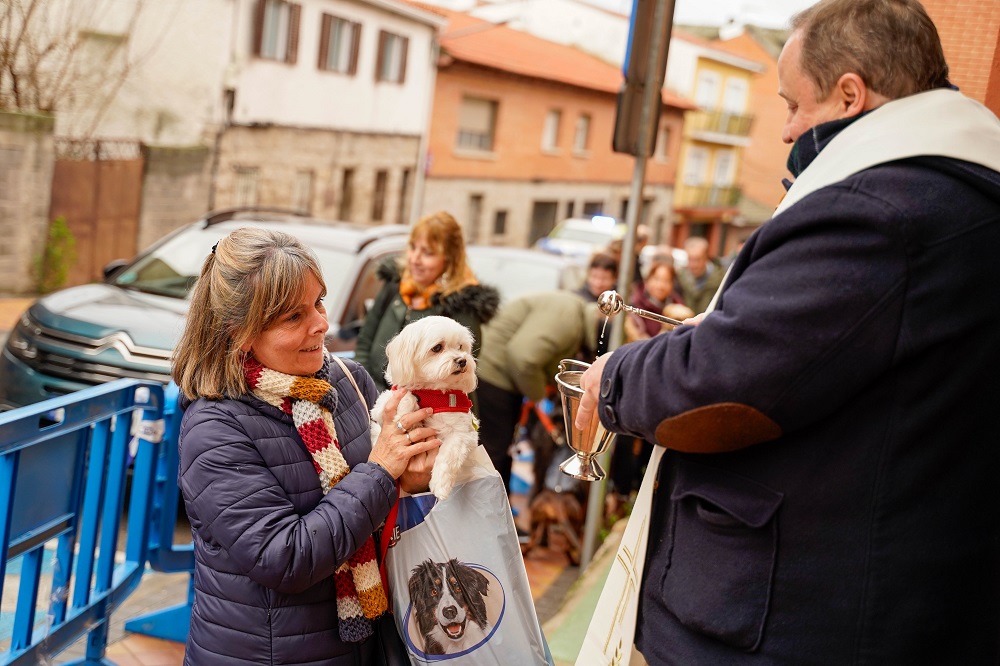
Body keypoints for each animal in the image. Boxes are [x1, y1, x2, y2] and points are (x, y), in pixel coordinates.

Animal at [372, 316, 480, 498]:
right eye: (437, 348)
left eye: (460, 347)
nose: (462, 360)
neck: (433, 393)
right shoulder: (380, 408)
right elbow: (406, 393)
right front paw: (405, 411)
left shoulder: (464, 433)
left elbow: (448, 455)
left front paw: (440, 484)